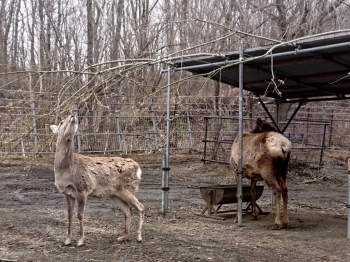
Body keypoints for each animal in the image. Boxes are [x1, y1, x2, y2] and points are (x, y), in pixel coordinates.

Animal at [50, 114, 144, 246]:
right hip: (115, 194)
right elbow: (69, 215)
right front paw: (67, 240)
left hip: (128, 189)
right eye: (61, 122)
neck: (65, 169)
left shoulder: (83, 189)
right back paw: (123, 236)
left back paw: (139, 237)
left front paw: (80, 240)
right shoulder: (67, 193)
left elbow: (80, 215)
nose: (73, 115)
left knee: (140, 207)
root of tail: (138, 168)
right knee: (128, 210)